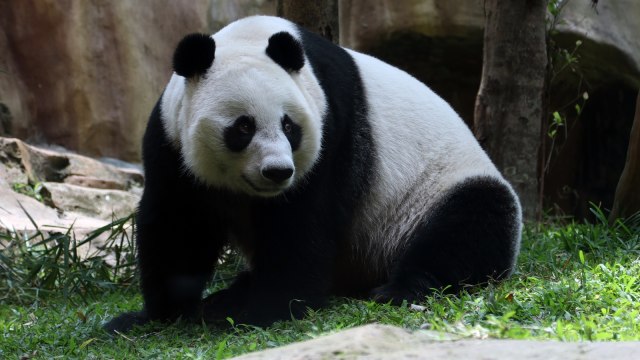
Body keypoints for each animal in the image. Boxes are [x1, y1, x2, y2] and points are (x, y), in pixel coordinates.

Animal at [104, 16, 520, 332]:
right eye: (243, 127)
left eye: (289, 126)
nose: (277, 172)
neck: (250, 38)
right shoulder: (171, 139)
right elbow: (179, 224)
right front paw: (155, 316)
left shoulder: (332, 130)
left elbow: (302, 225)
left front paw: (266, 311)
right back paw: (228, 296)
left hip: (432, 193)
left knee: (470, 224)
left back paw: (401, 289)